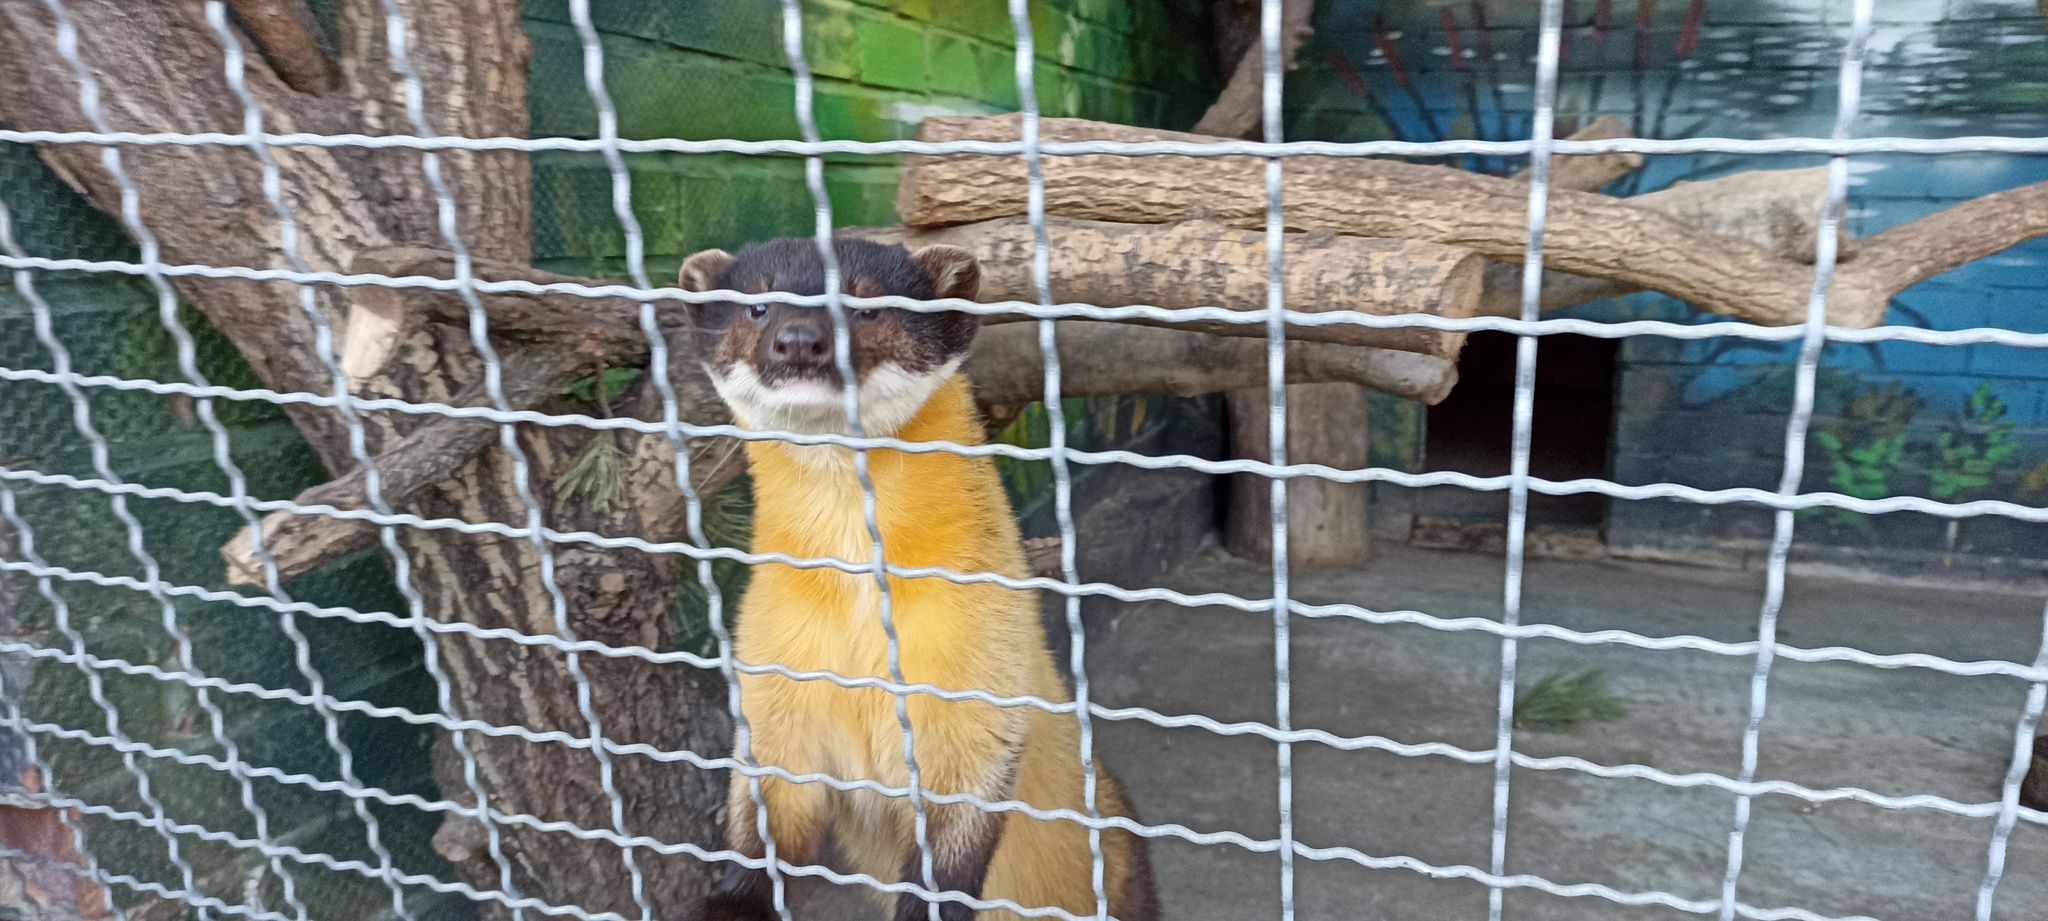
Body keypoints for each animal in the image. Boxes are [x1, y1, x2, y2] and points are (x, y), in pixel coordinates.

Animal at [673, 238, 1157, 921]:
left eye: (869, 304)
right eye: (758, 306)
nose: (798, 342)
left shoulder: (981, 684)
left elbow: (950, 852)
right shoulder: (773, 684)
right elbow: (761, 827)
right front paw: (726, 905)